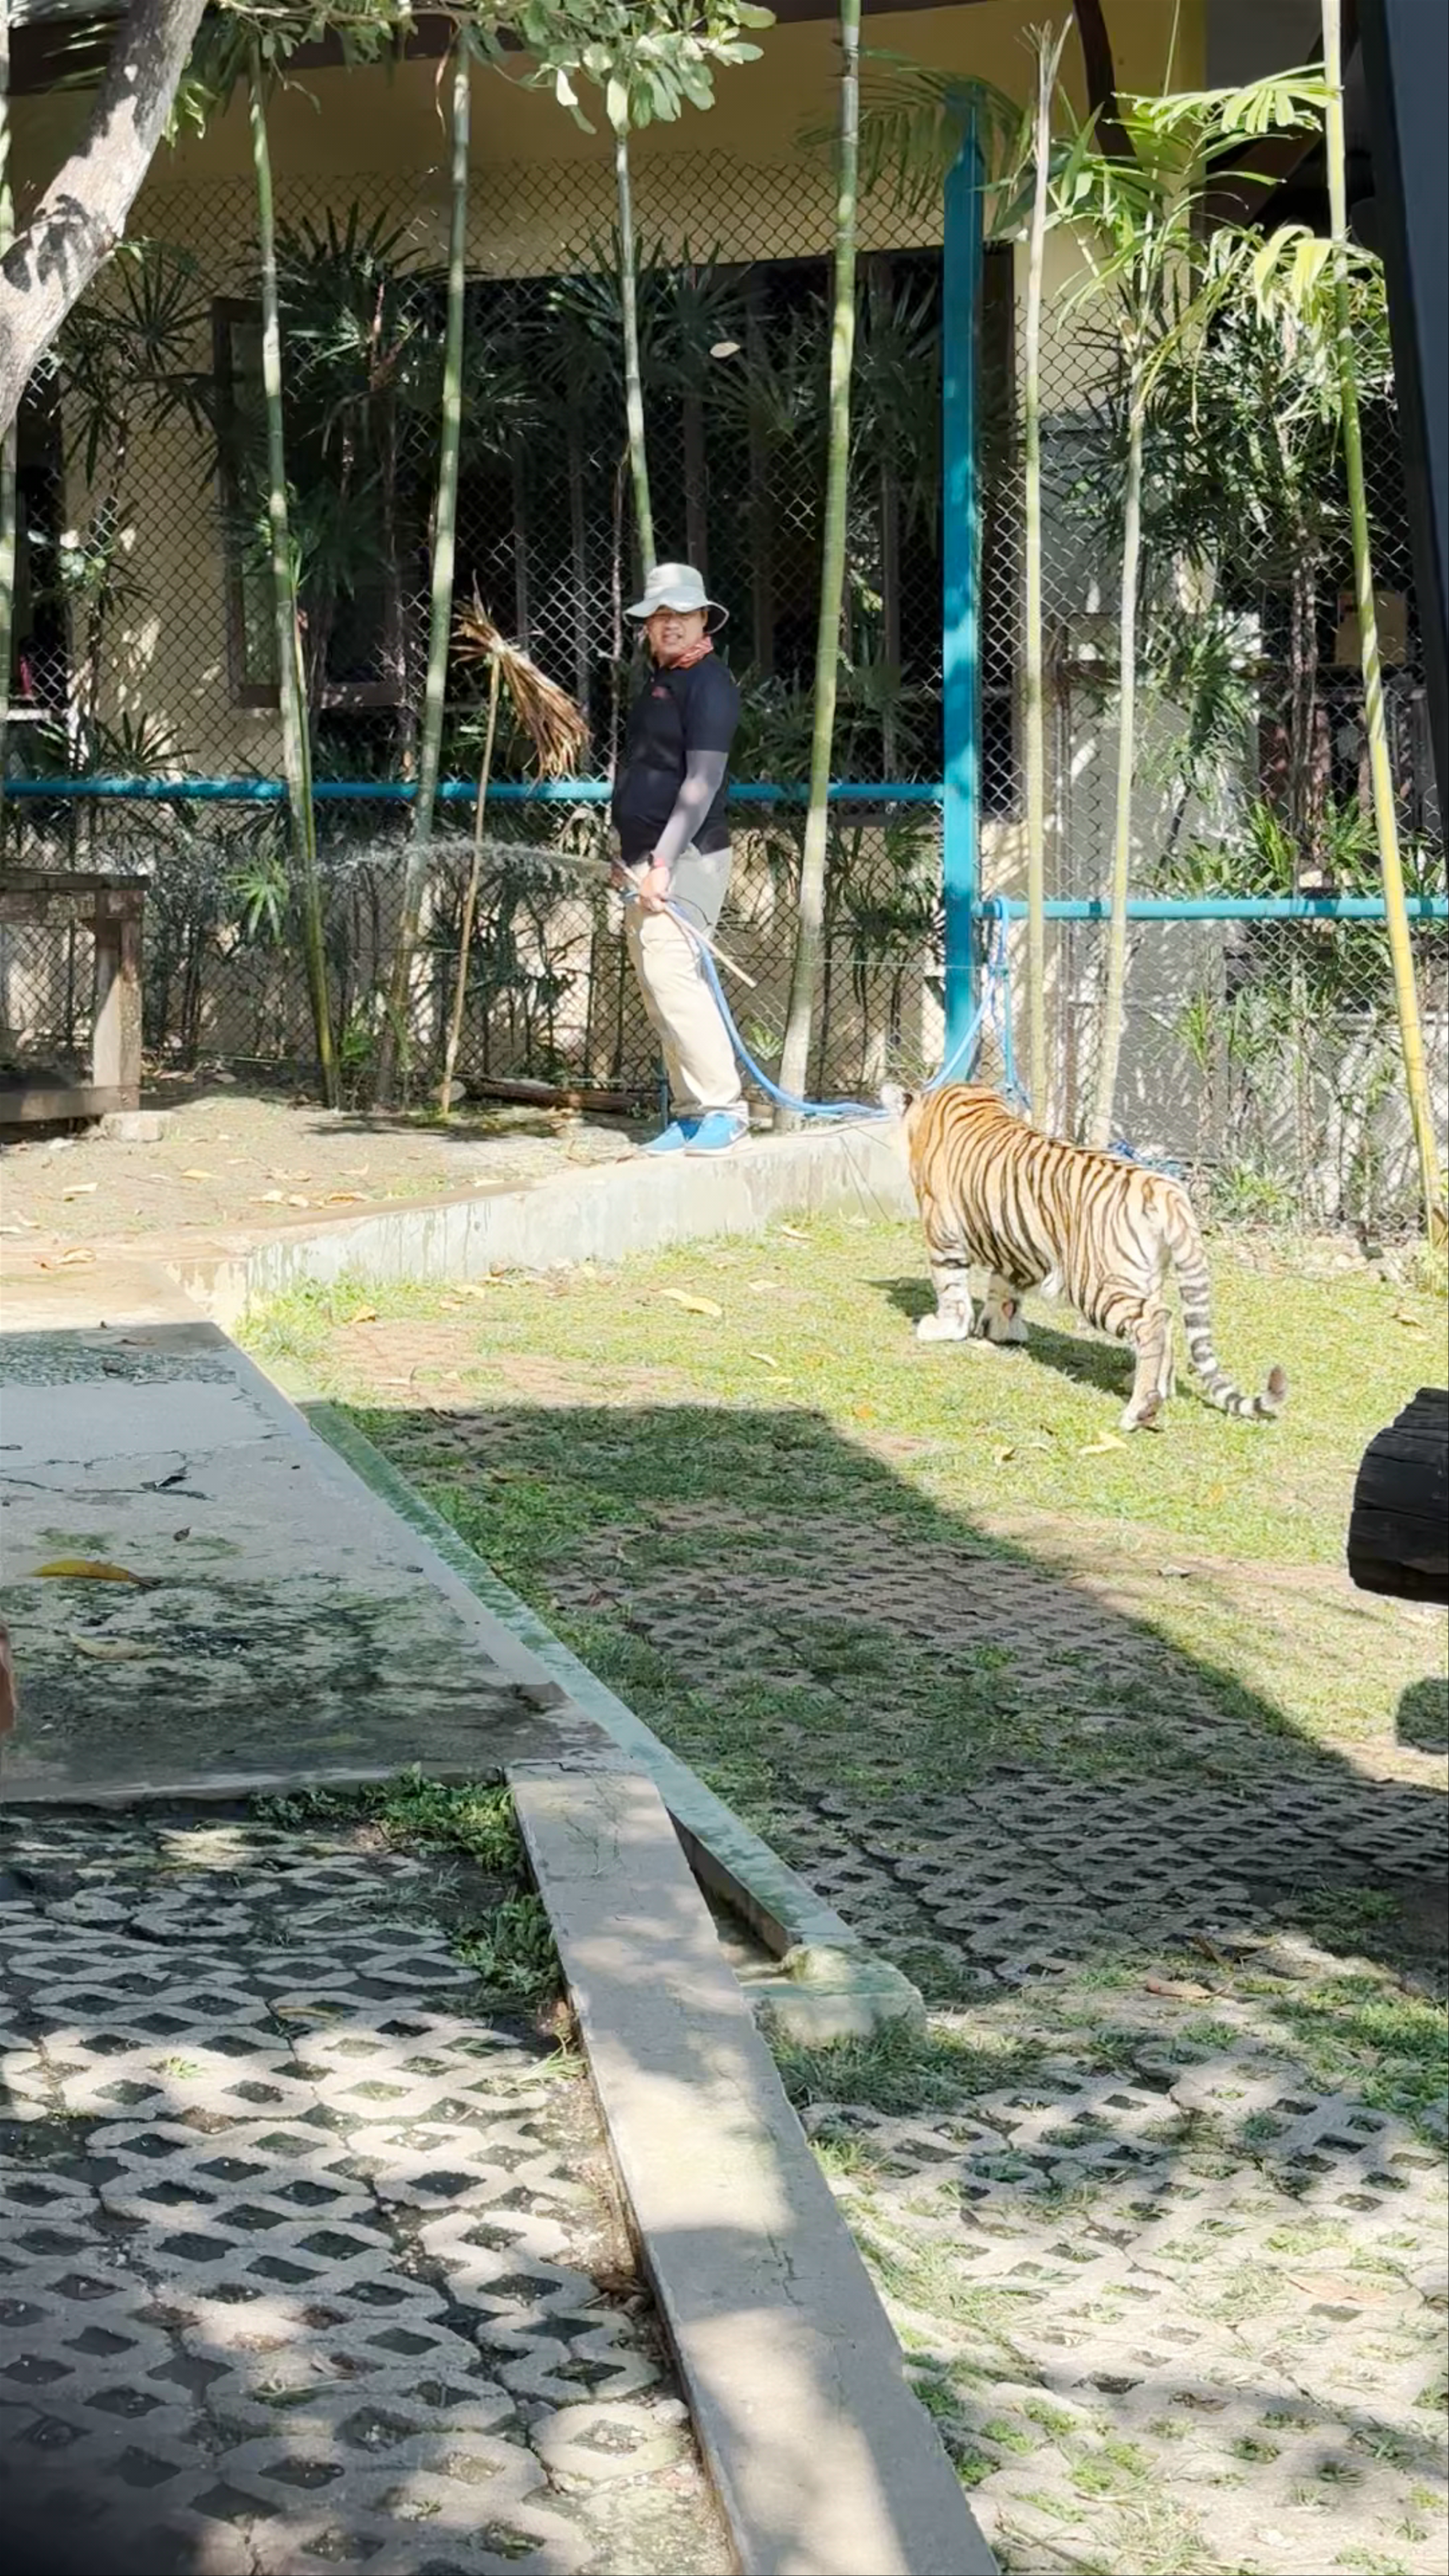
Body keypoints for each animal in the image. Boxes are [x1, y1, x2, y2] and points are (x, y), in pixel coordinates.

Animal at [881, 1083, 1286, 1433]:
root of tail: (1164, 1188)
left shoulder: (942, 1234)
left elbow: (951, 1288)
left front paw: (942, 1328)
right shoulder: (1014, 1243)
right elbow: (1005, 1290)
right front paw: (1000, 1330)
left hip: (1096, 1285)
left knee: (1153, 1321)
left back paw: (1141, 1407)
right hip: (1145, 1276)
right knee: (1167, 1316)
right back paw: (1152, 1385)